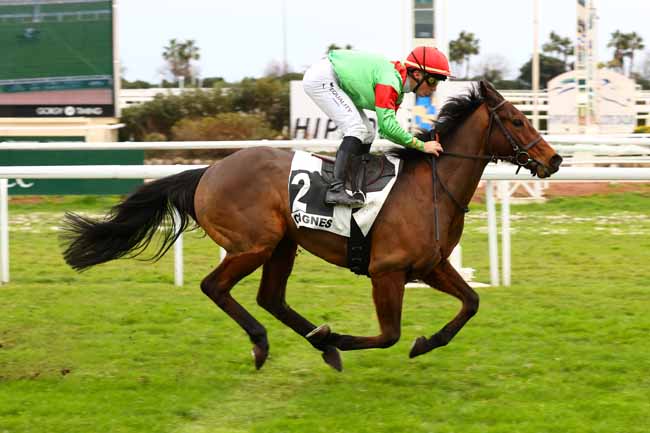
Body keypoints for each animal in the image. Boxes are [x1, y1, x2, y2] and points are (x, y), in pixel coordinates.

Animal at [60, 82, 560, 372]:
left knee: (270, 298)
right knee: (215, 287)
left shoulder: (430, 267)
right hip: (254, 244)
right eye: (517, 120)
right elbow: (389, 334)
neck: (431, 188)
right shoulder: (387, 271)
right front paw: (338, 335)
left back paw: (318, 345)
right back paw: (269, 343)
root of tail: (207, 172)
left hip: (283, 245)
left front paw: (426, 342)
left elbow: (471, 303)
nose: (554, 160)